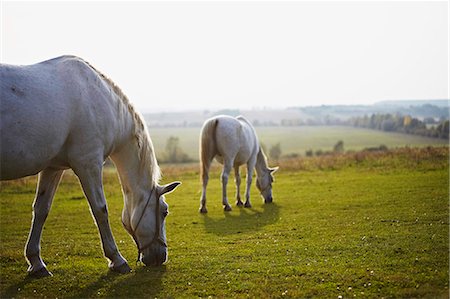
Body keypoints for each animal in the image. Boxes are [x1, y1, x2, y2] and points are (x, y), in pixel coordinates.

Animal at [1, 56, 181, 278]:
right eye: (164, 212)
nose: (160, 257)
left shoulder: (53, 168)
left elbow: (41, 210)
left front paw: (36, 263)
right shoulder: (88, 163)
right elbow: (100, 209)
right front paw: (117, 260)